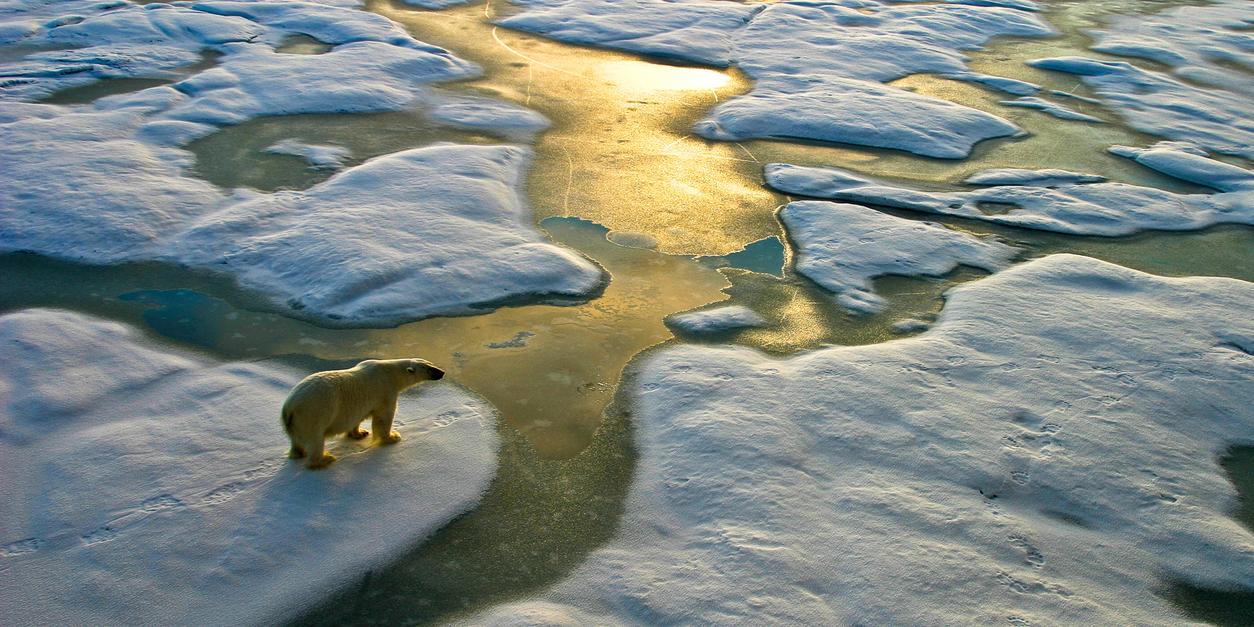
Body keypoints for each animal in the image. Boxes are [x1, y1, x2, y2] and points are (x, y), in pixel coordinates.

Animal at [281, 358, 445, 469]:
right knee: (315, 440)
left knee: (296, 441)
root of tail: (289, 408)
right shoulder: (385, 391)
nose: (442, 372)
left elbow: (357, 418)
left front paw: (360, 433)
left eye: (431, 363)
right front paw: (392, 437)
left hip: (295, 423)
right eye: (429, 368)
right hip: (314, 414)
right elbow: (383, 417)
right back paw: (325, 459)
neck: (390, 373)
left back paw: (298, 453)